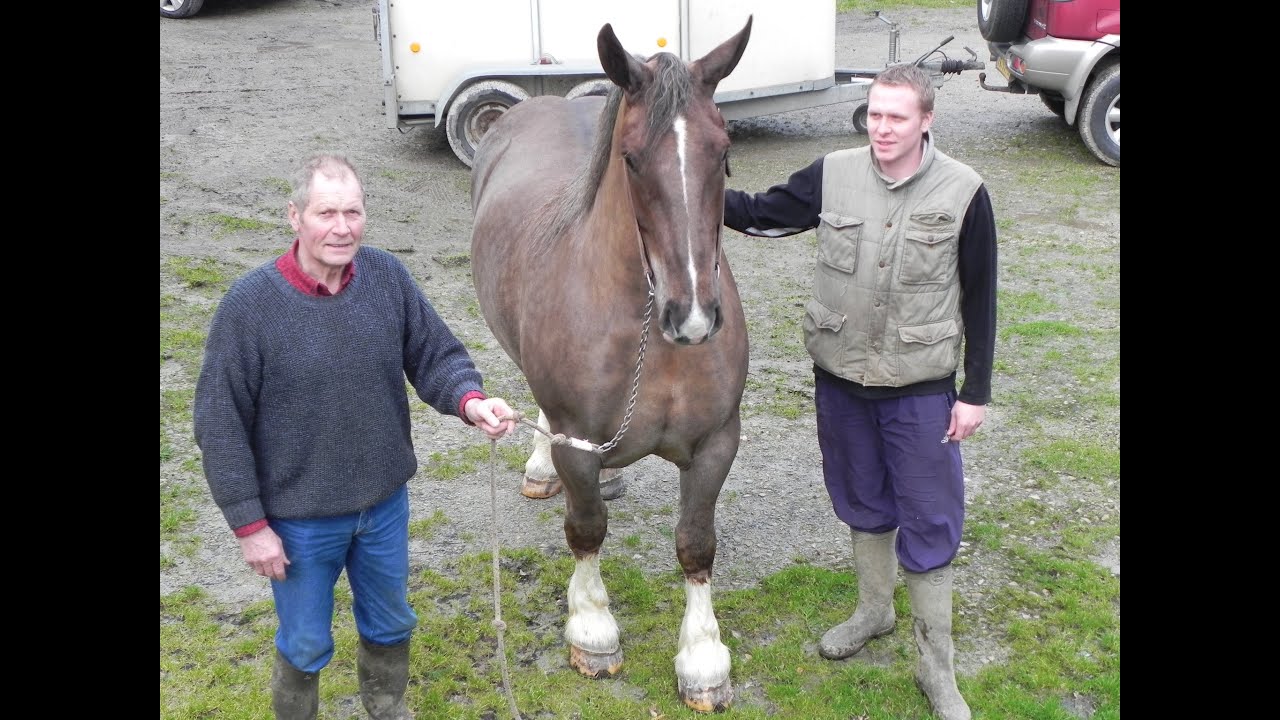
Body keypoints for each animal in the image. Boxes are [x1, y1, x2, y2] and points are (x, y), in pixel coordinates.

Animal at [468, 17, 753, 713]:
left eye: (723, 150)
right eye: (631, 159)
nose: (693, 317)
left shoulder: (716, 442)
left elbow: (695, 541)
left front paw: (703, 658)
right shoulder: (578, 445)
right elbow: (587, 528)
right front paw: (592, 629)